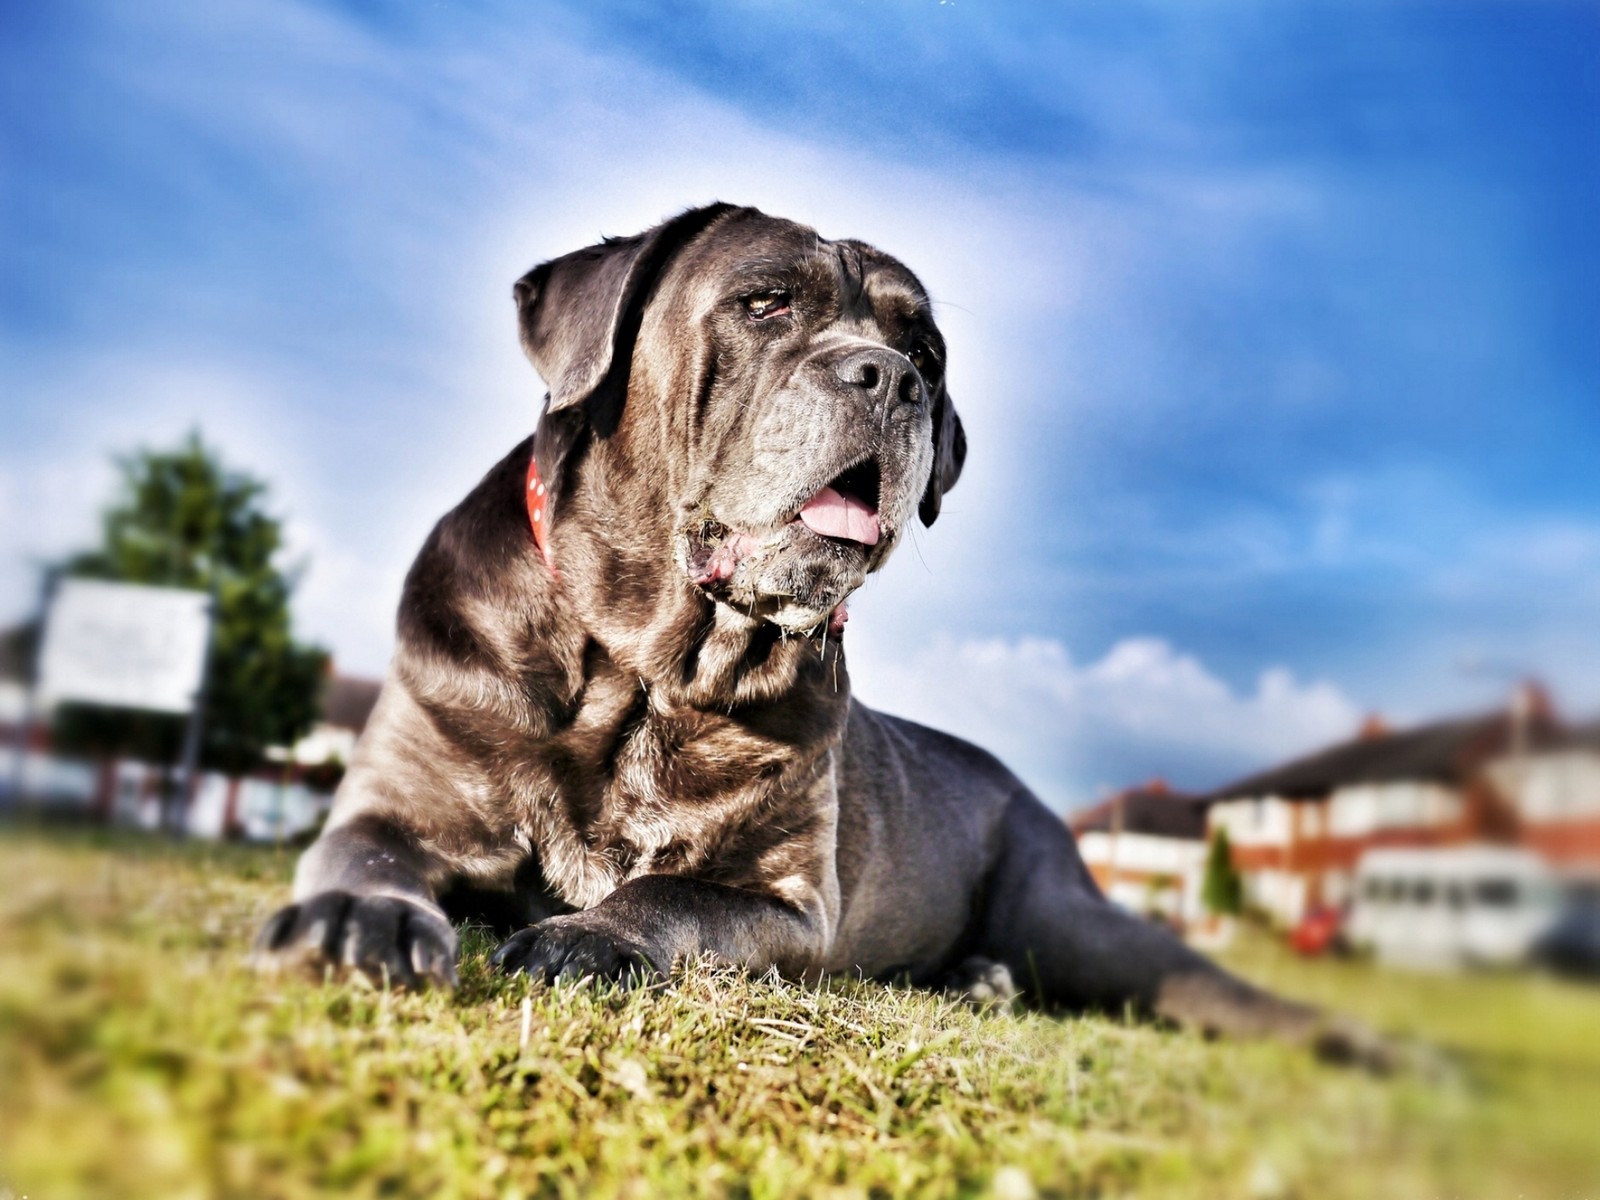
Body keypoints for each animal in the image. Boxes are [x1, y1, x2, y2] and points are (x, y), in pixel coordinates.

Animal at [259, 204, 1376, 1062]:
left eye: (925, 349)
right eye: (765, 304)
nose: (891, 378)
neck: (641, 670)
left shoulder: (788, 898)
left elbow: (667, 894)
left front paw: (591, 937)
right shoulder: (400, 797)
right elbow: (365, 853)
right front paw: (360, 918)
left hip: (1072, 917)